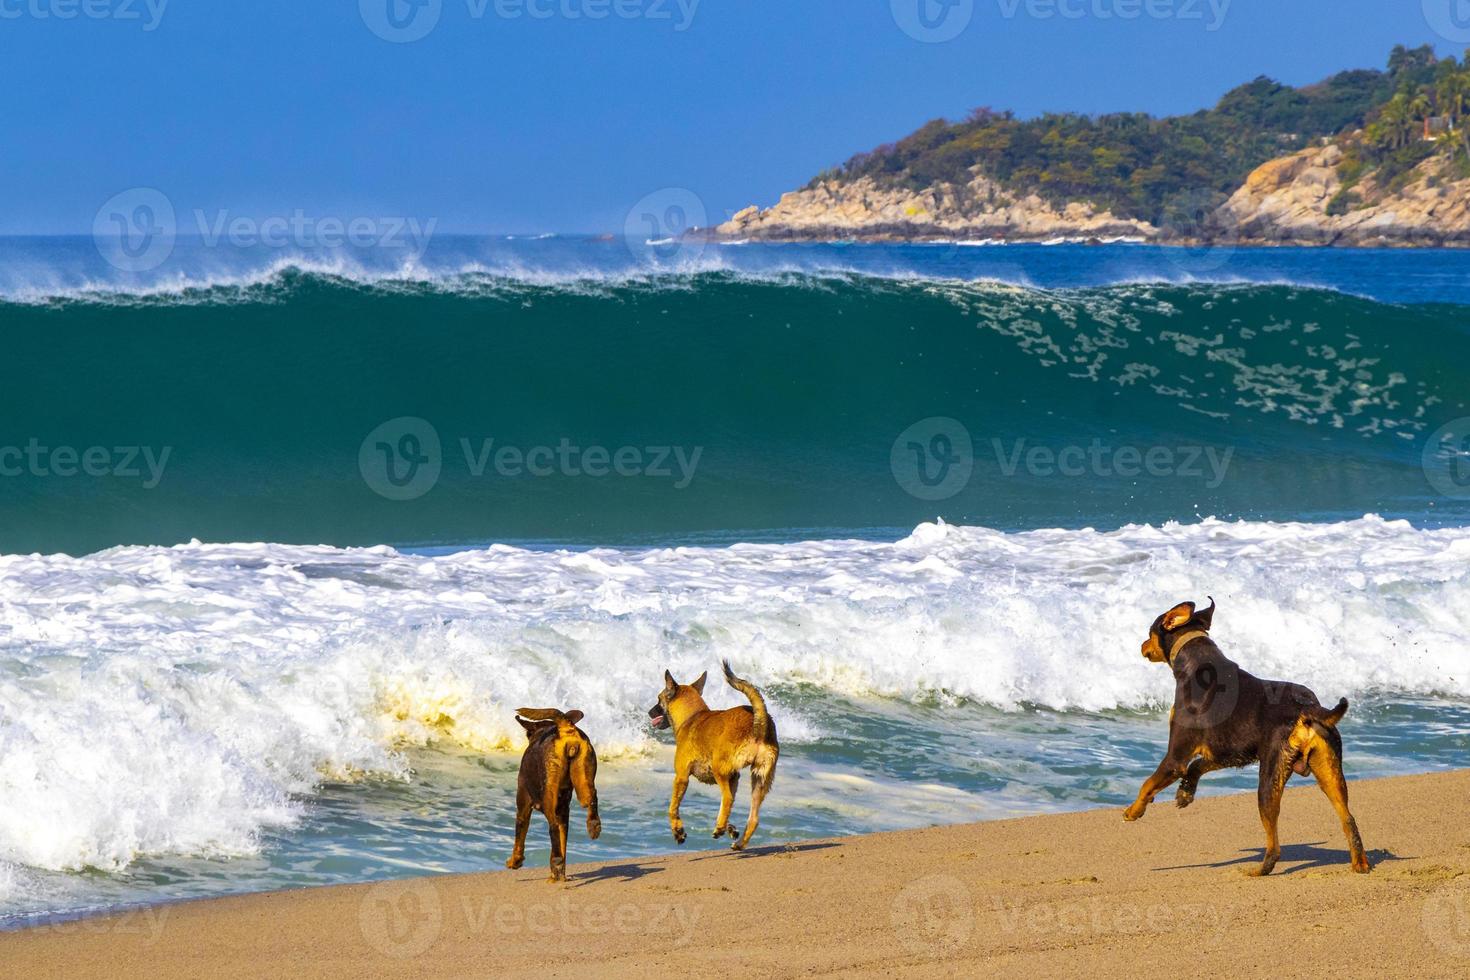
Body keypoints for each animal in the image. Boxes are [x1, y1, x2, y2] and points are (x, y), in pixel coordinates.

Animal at [505, 705, 596, 881]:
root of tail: (565, 727)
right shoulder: (564, 812)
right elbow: (562, 843)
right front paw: (557, 875)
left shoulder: (523, 805)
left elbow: (519, 838)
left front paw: (515, 861)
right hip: (584, 777)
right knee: (592, 798)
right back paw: (594, 826)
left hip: (549, 795)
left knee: (552, 825)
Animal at [646, 664, 782, 852]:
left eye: (659, 699)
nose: (649, 712)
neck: (692, 716)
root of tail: (759, 723)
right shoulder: (734, 777)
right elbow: (728, 807)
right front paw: (730, 827)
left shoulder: (681, 777)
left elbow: (672, 808)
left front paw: (678, 831)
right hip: (760, 777)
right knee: (752, 817)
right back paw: (737, 841)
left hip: (720, 770)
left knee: (728, 798)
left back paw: (719, 828)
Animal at [1123, 602, 1364, 875]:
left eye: (1149, 632)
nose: (1142, 644)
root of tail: (1308, 709)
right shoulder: (1226, 750)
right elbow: (1197, 766)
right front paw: (1185, 793)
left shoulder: (1177, 756)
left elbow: (1148, 783)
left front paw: (1133, 811)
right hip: (1329, 769)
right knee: (1349, 818)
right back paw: (1360, 864)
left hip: (1270, 775)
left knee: (1274, 841)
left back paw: (1260, 870)